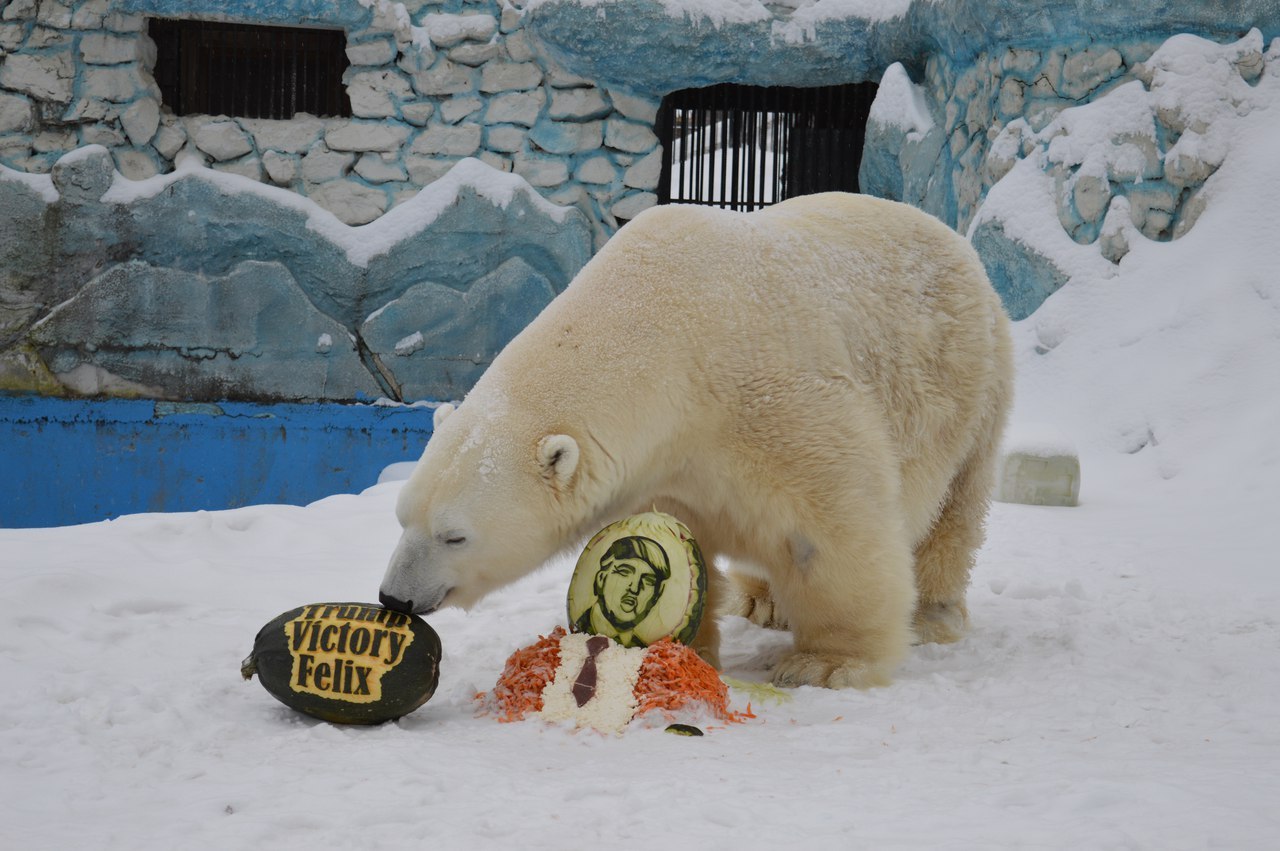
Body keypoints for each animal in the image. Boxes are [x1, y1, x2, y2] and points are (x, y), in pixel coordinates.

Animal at [378, 189, 1008, 685]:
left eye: (454, 536)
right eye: (403, 517)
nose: (395, 597)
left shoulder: (775, 396)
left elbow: (834, 523)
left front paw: (827, 664)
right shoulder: (663, 462)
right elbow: (684, 537)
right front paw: (685, 647)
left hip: (970, 381)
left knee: (954, 507)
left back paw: (932, 615)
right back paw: (762, 601)